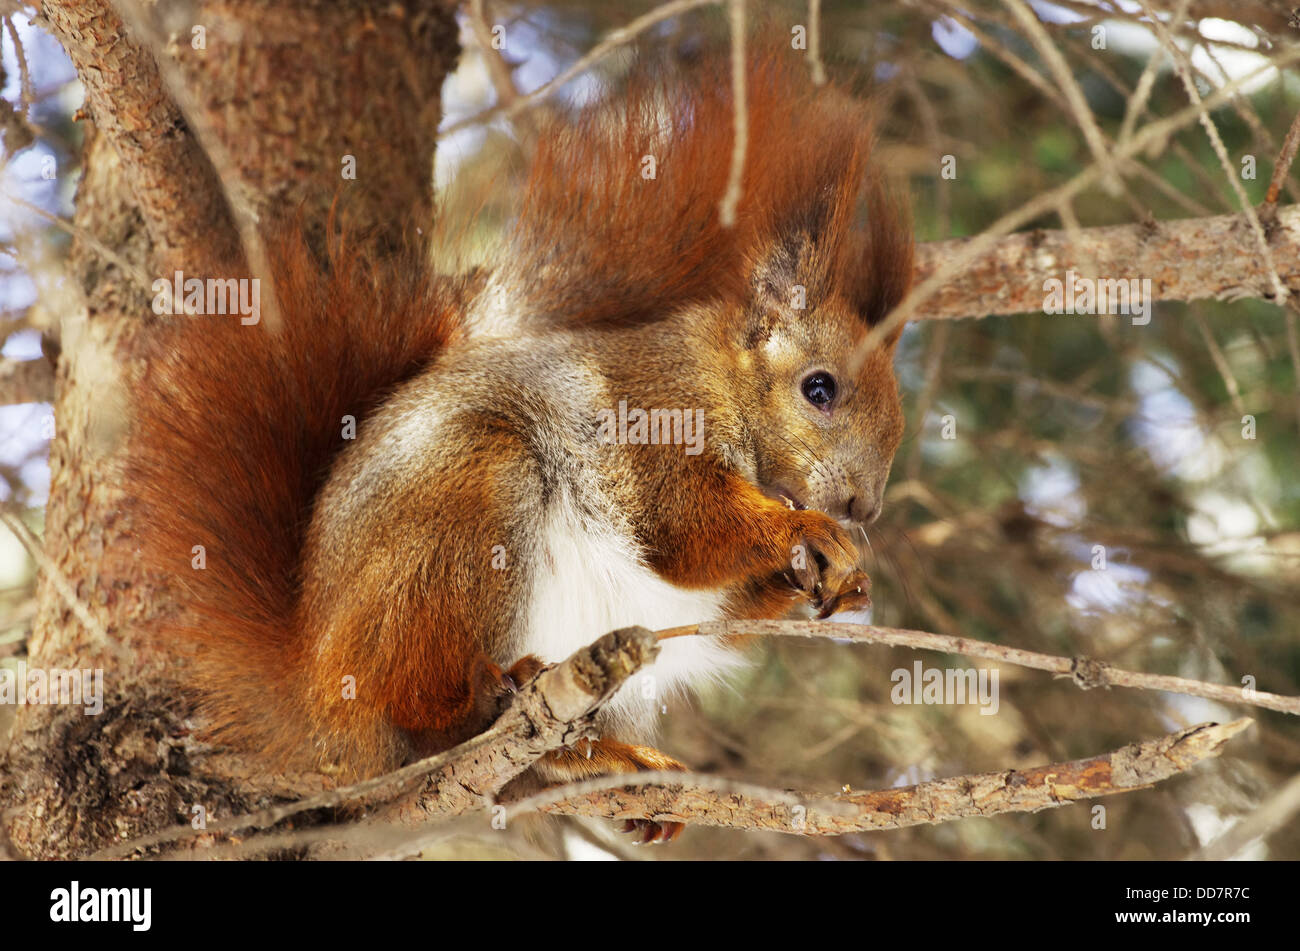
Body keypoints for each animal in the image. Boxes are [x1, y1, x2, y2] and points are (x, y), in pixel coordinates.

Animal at [126, 50, 909, 847]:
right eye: (819, 389)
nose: (863, 507)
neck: (721, 377)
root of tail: (316, 699)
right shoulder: (650, 416)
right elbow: (682, 525)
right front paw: (808, 531)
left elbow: (722, 590)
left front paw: (839, 581)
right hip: (464, 509)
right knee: (422, 710)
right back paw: (483, 701)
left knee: (529, 769)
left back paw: (623, 766)